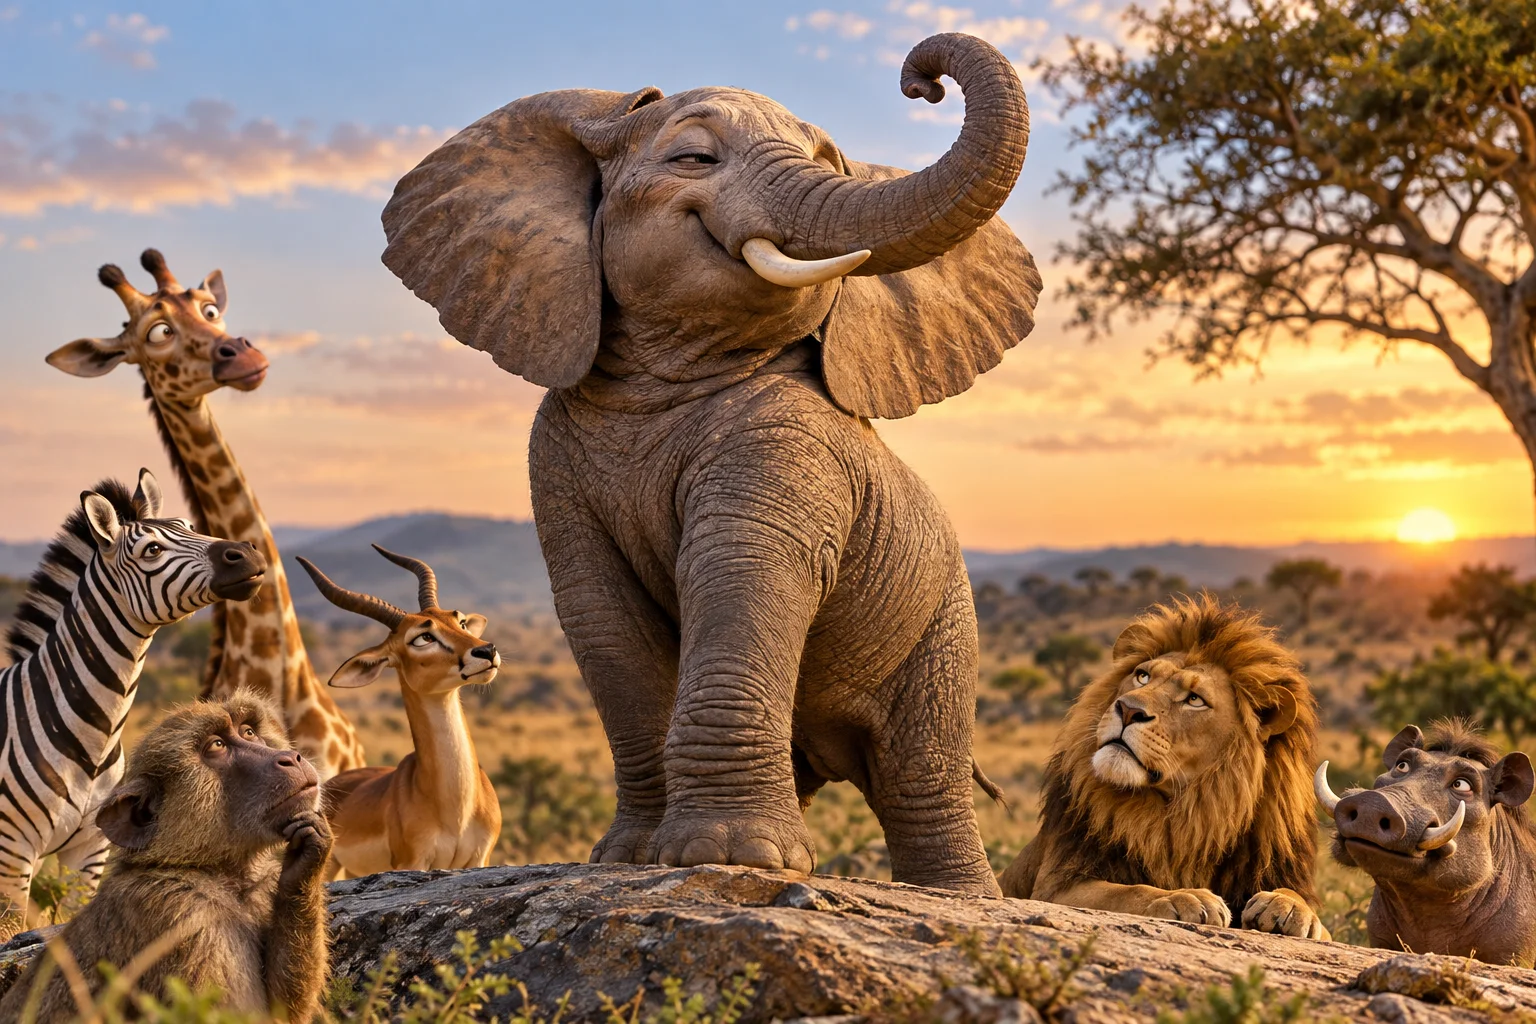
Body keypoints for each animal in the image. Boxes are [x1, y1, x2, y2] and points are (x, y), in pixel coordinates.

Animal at [381, 32, 1040, 894]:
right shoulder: (553, 448)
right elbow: (600, 610)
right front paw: (636, 859)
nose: (922, 82)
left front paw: (728, 858)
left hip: (942, 625)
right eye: (694, 157)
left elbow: (740, 567)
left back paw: (952, 895)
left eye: (829, 158)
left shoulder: (791, 437)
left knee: (917, 770)